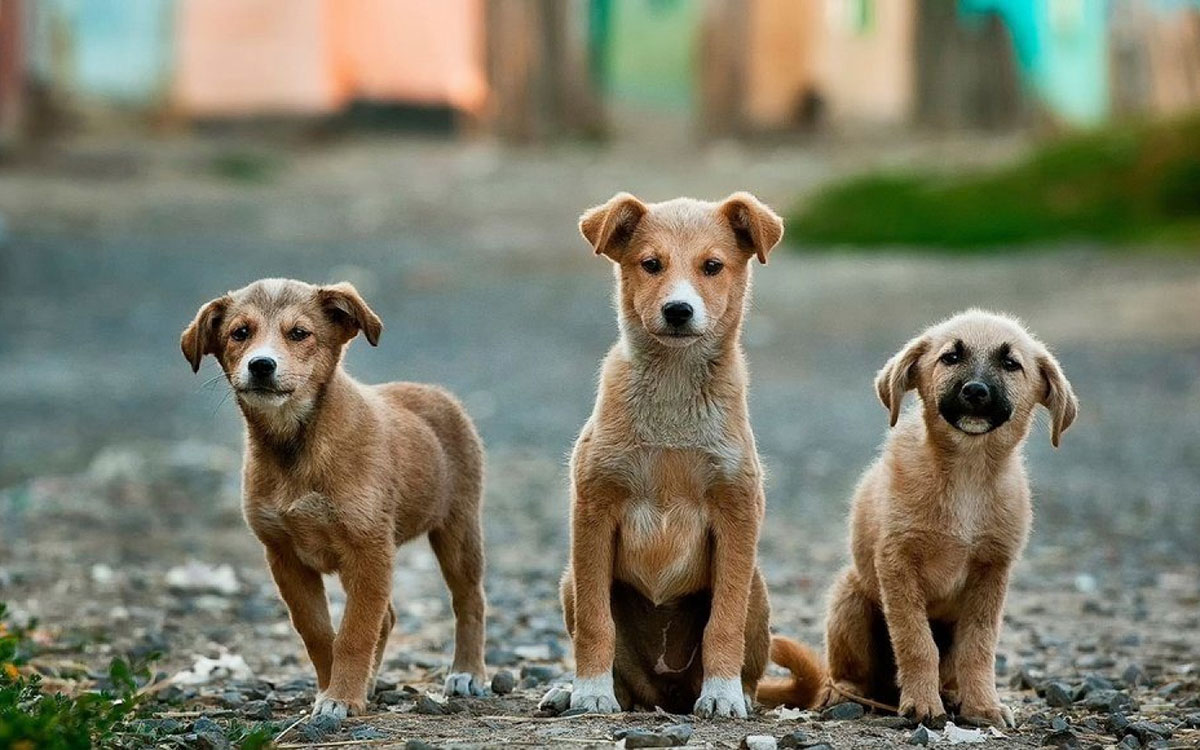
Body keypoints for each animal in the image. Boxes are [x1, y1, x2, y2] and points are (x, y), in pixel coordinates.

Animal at [178, 279, 487, 720]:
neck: (295, 445)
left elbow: (355, 632)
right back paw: (371, 682)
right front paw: (333, 689)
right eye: (240, 333)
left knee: (469, 601)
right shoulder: (284, 555)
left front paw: (341, 697)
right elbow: (319, 632)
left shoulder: (368, 549)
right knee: (388, 617)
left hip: (458, 530)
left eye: (299, 333)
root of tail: (436, 392)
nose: (261, 365)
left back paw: (467, 673)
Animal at [556, 189, 792, 715]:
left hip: (758, 589)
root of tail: (664, 694)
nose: (678, 310)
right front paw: (590, 691)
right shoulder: (593, 509)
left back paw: (736, 694)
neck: (673, 391)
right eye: (651, 264)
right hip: (568, 582)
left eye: (712, 266)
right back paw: (570, 692)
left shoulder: (737, 512)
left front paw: (722, 695)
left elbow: (722, 623)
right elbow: (595, 624)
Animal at [763, 309, 1084, 724]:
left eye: (1011, 364)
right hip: (850, 597)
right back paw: (846, 694)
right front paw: (921, 703)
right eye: (951, 357)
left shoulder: (992, 571)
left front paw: (983, 705)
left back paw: (952, 695)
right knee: (847, 673)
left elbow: (979, 648)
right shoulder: (897, 563)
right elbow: (916, 641)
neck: (967, 473)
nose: (975, 391)